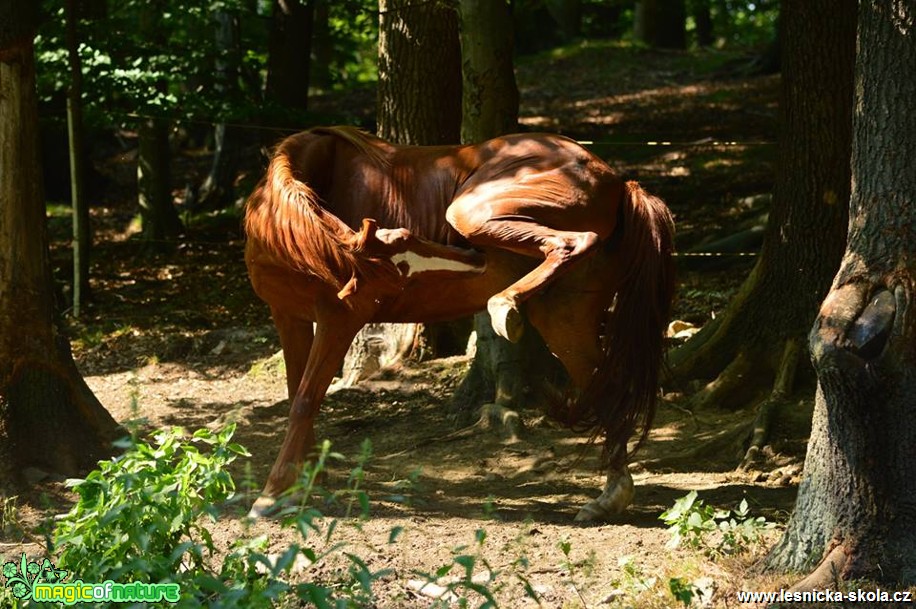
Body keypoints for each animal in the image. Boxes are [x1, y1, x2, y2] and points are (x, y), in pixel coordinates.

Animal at [243, 126, 672, 520]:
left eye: (402, 253)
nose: (473, 261)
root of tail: (617, 182)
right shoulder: (291, 317)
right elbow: (298, 392)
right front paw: (303, 481)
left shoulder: (339, 317)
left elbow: (305, 400)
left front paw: (274, 492)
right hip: (565, 321)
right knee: (606, 388)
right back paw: (609, 497)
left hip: (470, 214)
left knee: (573, 243)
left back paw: (504, 304)